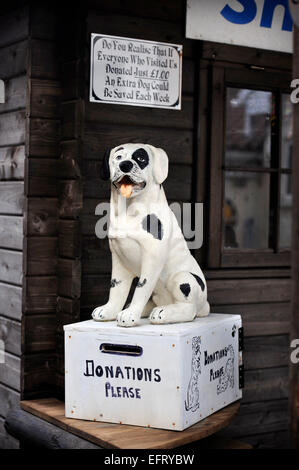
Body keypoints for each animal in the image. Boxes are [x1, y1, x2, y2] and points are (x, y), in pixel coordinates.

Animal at [92, 143, 211, 326]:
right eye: (118, 157)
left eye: (141, 158)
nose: (125, 165)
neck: (129, 212)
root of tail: (204, 306)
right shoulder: (119, 259)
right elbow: (116, 288)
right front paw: (109, 310)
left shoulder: (152, 259)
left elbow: (141, 288)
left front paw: (130, 315)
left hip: (184, 279)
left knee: (189, 309)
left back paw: (164, 313)